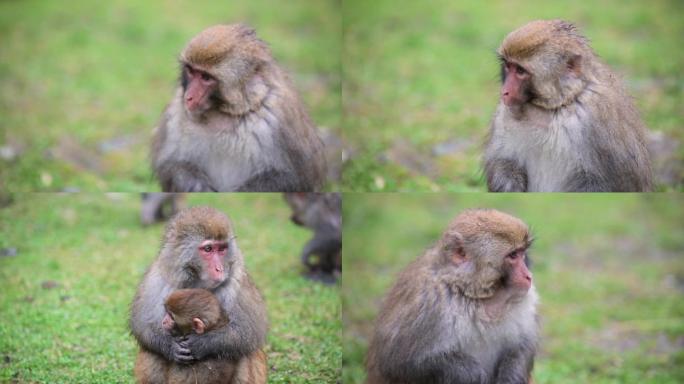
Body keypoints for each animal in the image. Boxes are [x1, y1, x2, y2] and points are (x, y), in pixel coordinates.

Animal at [130, 207, 268, 380]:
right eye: (208, 249)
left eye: (221, 249)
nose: (219, 269)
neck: (196, 280)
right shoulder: (157, 276)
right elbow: (142, 325)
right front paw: (171, 347)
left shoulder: (237, 280)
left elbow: (249, 331)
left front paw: (200, 344)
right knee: (152, 353)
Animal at [151, 24, 328, 192]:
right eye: (191, 71)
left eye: (206, 78)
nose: (188, 97)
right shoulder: (175, 114)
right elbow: (170, 164)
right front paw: (195, 185)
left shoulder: (282, 120)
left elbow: (296, 178)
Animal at [366, 210, 536, 384]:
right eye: (513, 255)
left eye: (522, 253)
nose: (528, 276)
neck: (469, 292)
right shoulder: (429, 304)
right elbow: (401, 362)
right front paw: (473, 375)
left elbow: (523, 345)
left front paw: (511, 376)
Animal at [486, 19, 652, 190]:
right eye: (508, 66)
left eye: (520, 71)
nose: (504, 92)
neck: (557, 105)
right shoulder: (505, 114)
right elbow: (503, 161)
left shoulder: (599, 120)